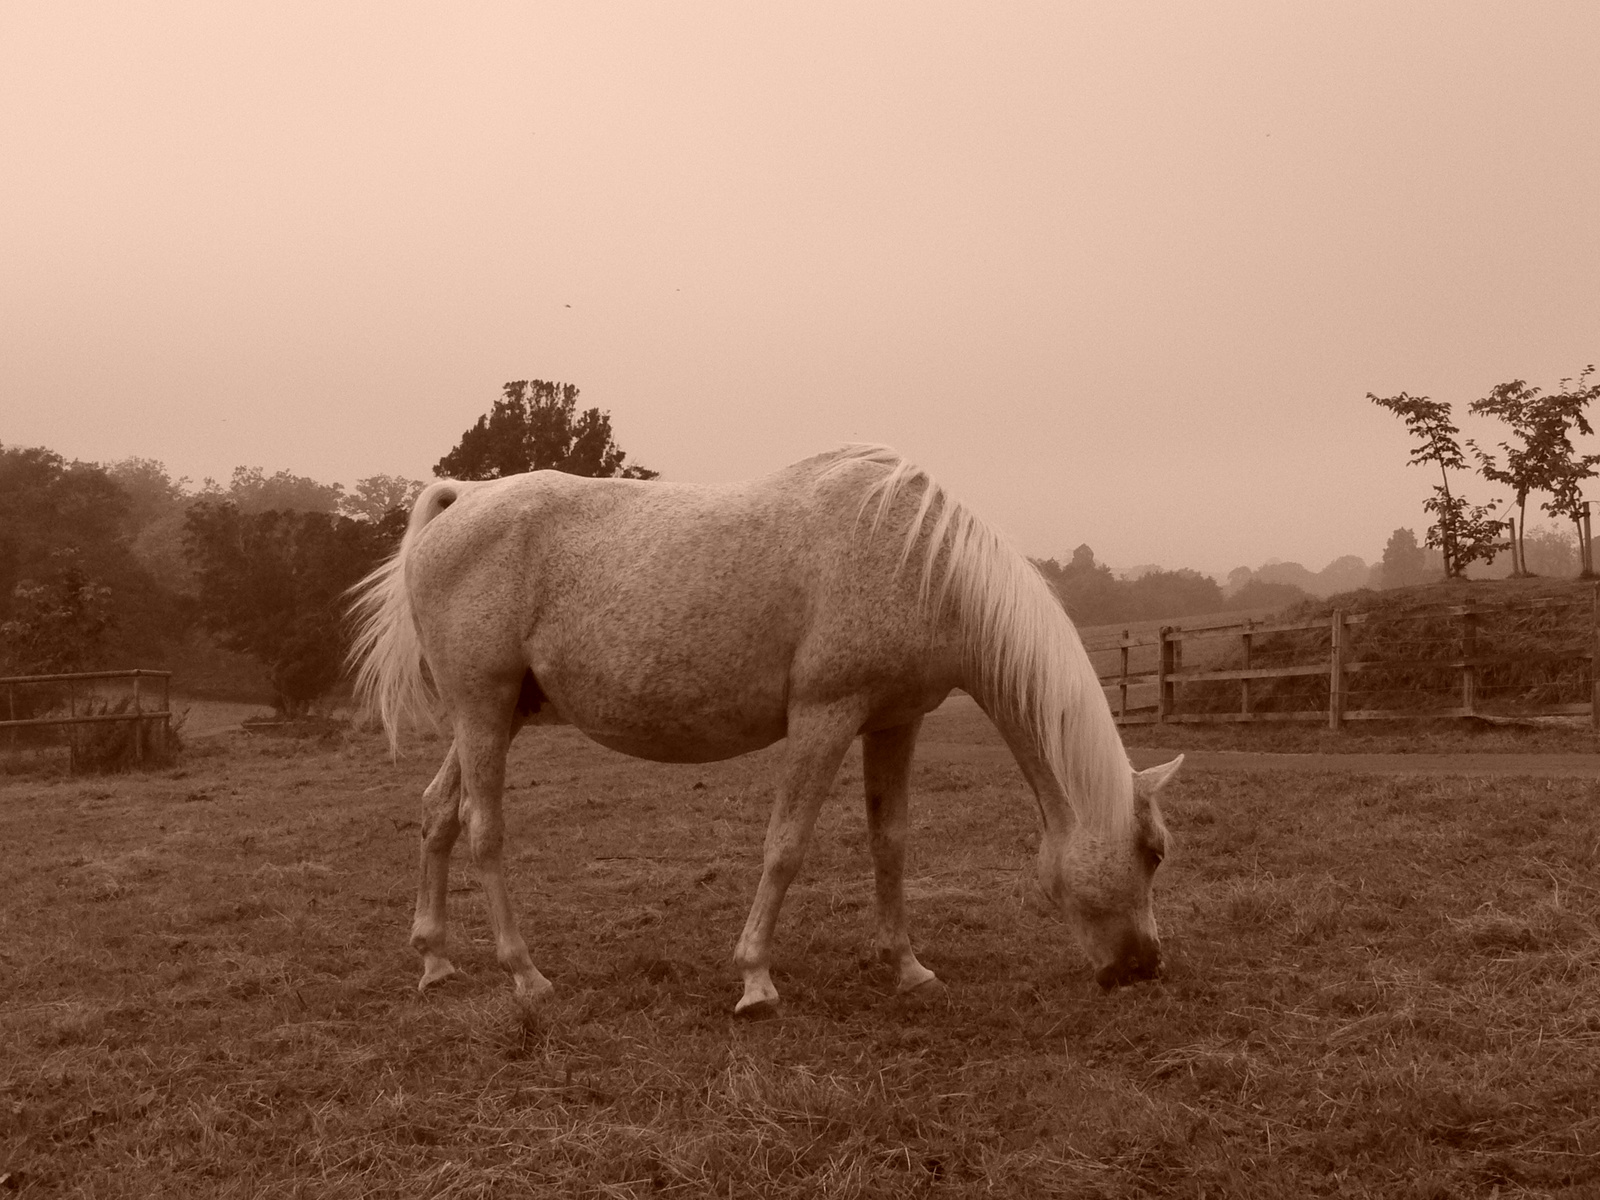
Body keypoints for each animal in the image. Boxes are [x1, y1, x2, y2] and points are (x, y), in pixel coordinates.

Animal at [350, 448, 1184, 1017]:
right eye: (1153, 852)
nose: (1144, 967)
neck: (922, 564)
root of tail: (461, 500)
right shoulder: (824, 715)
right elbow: (786, 845)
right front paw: (756, 979)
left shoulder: (894, 721)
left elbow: (890, 842)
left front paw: (906, 966)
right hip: (483, 711)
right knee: (483, 830)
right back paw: (524, 973)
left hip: (490, 717)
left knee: (436, 813)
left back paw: (435, 959)